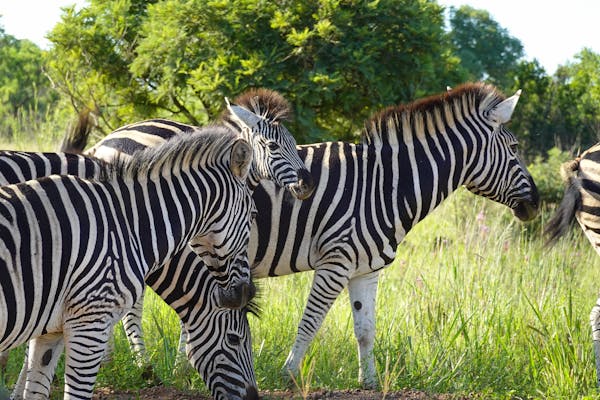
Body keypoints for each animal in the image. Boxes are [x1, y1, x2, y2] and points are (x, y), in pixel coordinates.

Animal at [75, 82, 540, 388]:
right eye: (515, 149)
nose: (536, 204)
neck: (386, 185)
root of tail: (107, 140)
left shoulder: (366, 269)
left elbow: (365, 328)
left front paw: (369, 383)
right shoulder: (335, 261)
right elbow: (311, 321)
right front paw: (287, 374)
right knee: (131, 305)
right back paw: (139, 367)